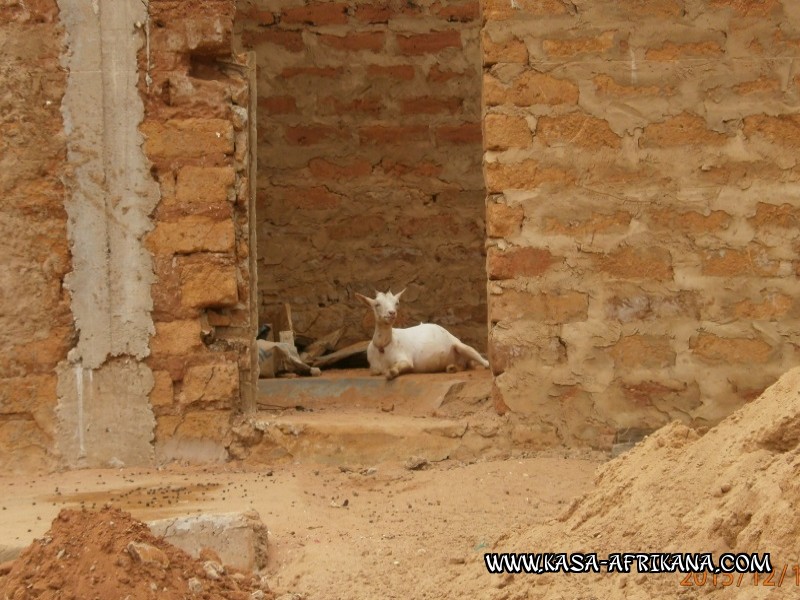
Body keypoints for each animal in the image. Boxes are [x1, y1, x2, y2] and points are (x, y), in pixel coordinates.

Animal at [354, 288, 488, 380]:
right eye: (377, 304)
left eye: (396, 303)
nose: (392, 313)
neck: (384, 346)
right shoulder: (373, 368)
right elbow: (375, 372)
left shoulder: (406, 359)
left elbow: (393, 371)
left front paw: (391, 372)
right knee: (462, 366)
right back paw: (452, 368)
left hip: (460, 345)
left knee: (482, 361)